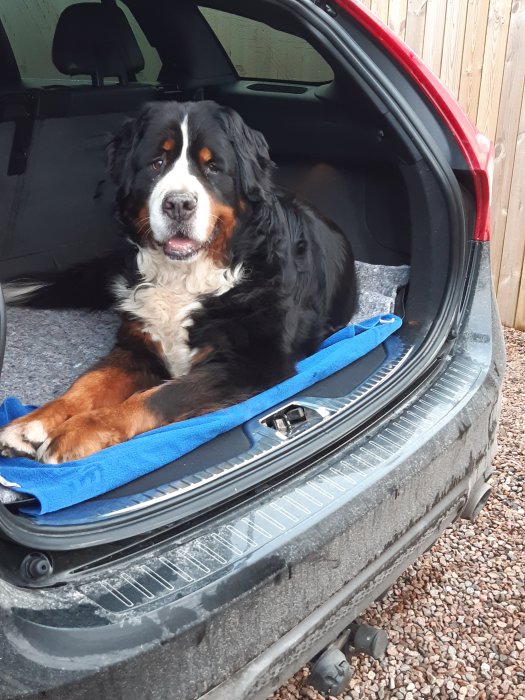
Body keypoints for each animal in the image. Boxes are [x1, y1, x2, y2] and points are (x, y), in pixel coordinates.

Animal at [0, 98, 356, 462]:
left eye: (212, 167)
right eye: (157, 163)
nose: (179, 204)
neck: (184, 278)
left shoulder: (250, 363)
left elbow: (160, 397)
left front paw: (79, 430)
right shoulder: (136, 347)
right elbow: (89, 382)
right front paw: (33, 423)